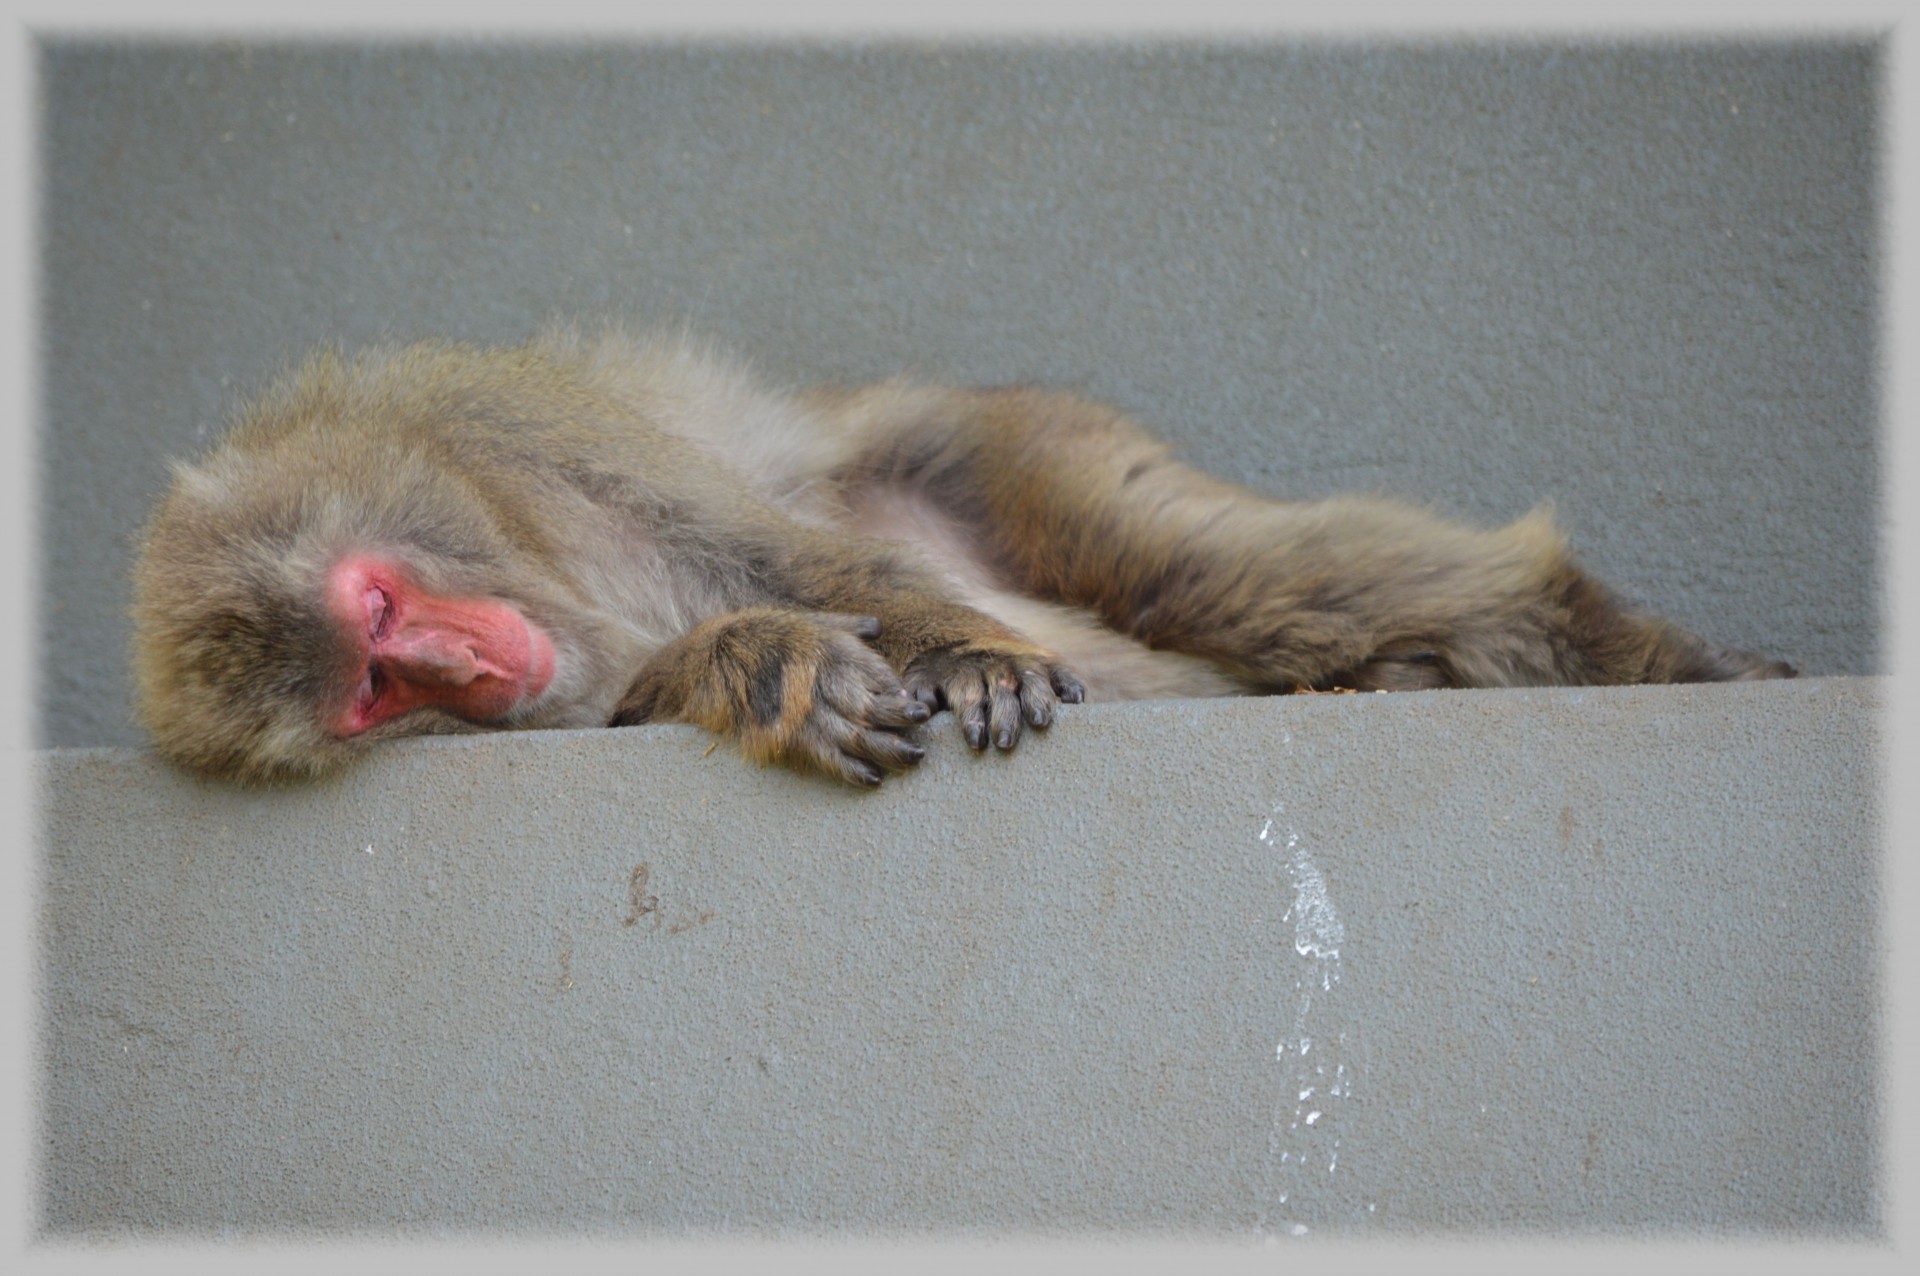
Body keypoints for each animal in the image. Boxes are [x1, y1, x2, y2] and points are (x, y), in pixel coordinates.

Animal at [127, 320, 1789, 786]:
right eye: (372, 689)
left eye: (380, 603)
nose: (464, 663)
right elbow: (652, 685)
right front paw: (768, 672)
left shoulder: (506, 417)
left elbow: (777, 550)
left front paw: (963, 657)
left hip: (995, 437)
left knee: (1201, 568)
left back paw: (1637, 650)